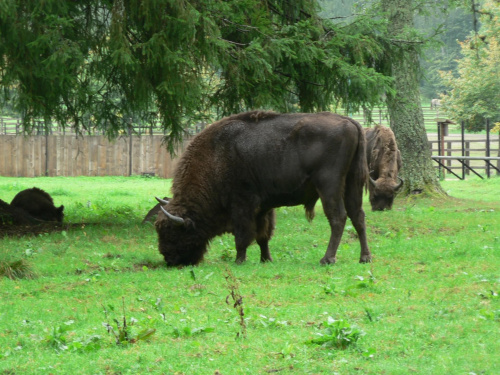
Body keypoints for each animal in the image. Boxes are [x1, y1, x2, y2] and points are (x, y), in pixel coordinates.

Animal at [155, 111, 372, 268]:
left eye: (173, 233)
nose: (169, 260)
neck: (216, 157)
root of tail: (349, 121)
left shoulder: (242, 205)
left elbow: (243, 236)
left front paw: (239, 261)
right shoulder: (264, 208)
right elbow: (263, 236)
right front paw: (266, 259)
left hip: (329, 186)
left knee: (338, 218)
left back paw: (327, 259)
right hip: (352, 183)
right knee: (358, 216)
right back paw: (364, 258)